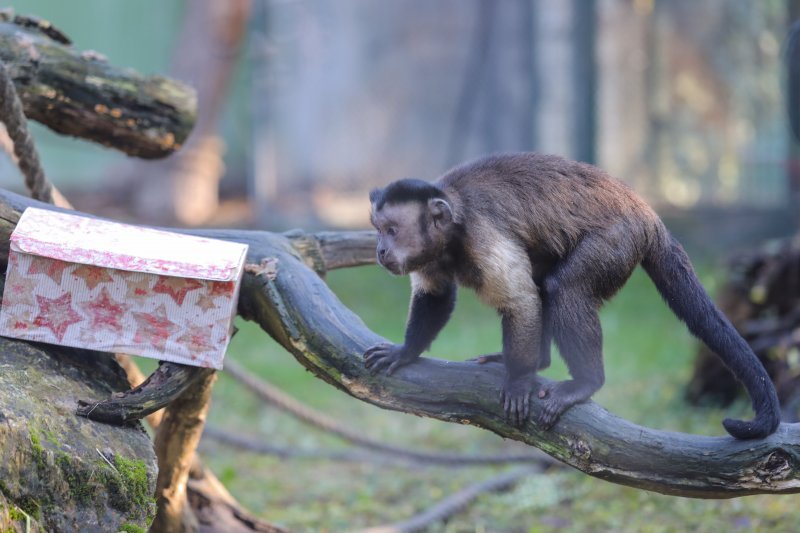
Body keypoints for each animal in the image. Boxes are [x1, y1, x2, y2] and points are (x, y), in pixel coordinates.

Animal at [368, 152, 780, 438]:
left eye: (392, 229)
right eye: (377, 229)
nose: (380, 250)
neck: (452, 234)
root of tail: (646, 213)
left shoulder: (482, 236)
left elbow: (520, 301)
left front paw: (519, 381)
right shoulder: (431, 253)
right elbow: (436, 294)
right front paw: (405, 352)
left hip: (619, 239)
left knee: (561, 289)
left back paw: (584, 383)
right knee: (544, 284)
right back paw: (539, 361)